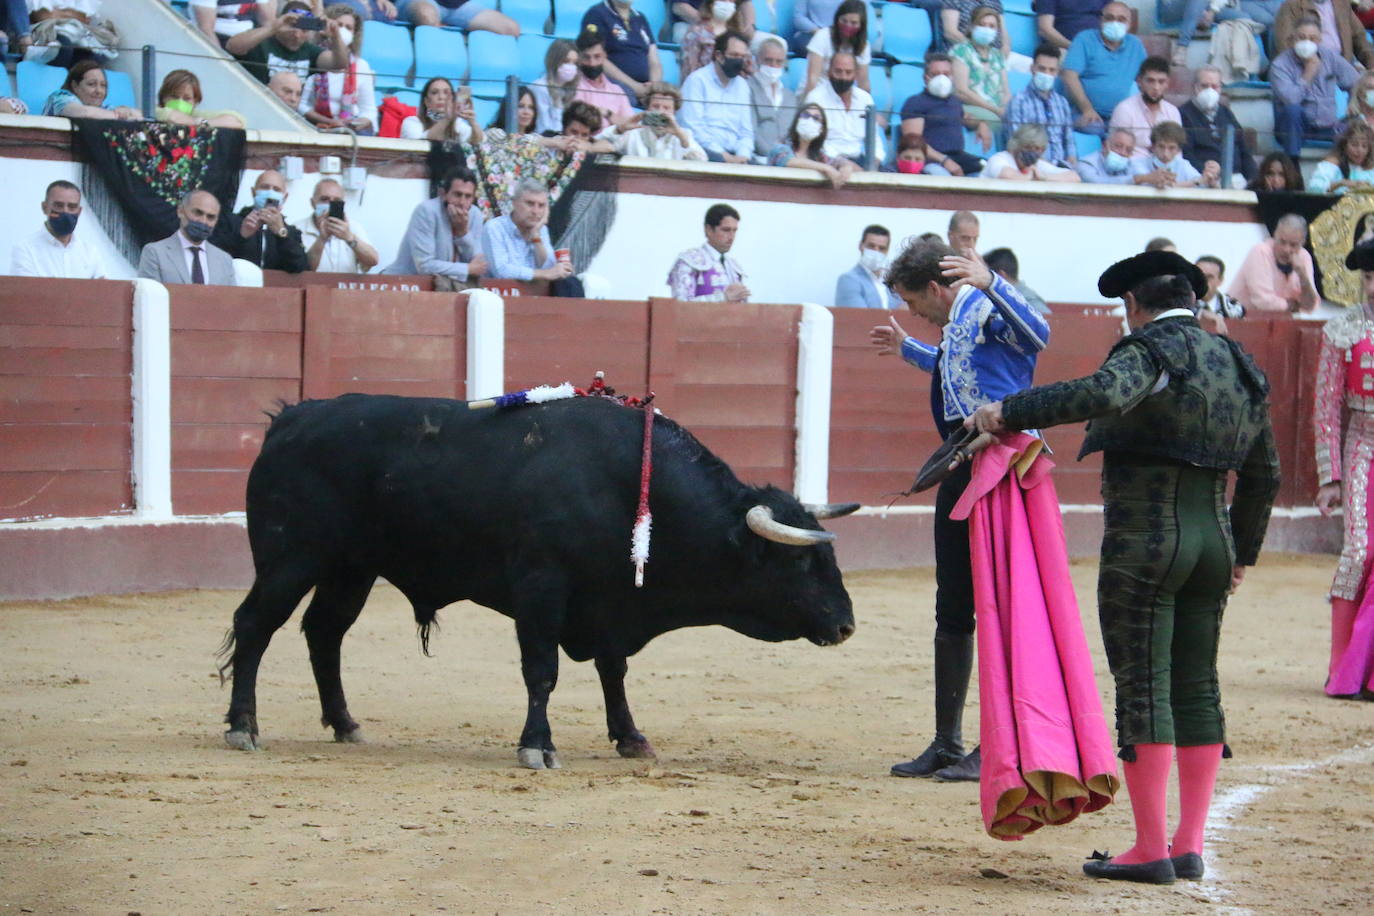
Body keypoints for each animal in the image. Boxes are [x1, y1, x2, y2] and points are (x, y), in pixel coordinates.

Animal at [218, 392, 851, 769]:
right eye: (800, 564)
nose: (846, 625)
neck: (632, 488)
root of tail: (293, 418)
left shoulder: (608, 605)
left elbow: (613, 673)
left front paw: (630, 738)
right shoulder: (541, 589)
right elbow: (542, 671)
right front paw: (537, 746)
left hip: (351, 570)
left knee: (325, 634)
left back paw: (346, 725)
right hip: (291, 560)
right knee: (254, 627)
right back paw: (243, 727)